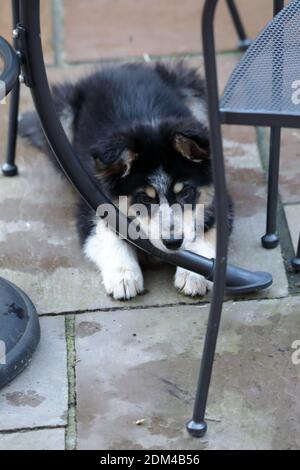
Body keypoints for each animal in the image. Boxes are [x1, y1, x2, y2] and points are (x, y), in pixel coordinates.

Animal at [19, 60, 233, 300]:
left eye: (185, 192)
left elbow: (205, 230)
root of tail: (121, 67)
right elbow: (108, 232)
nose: (173, 242)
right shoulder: (90, 198)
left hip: (192, 88)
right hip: (60, 114)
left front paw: (193, 274)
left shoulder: (218, 198)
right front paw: (123, 276)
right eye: (145, 199)